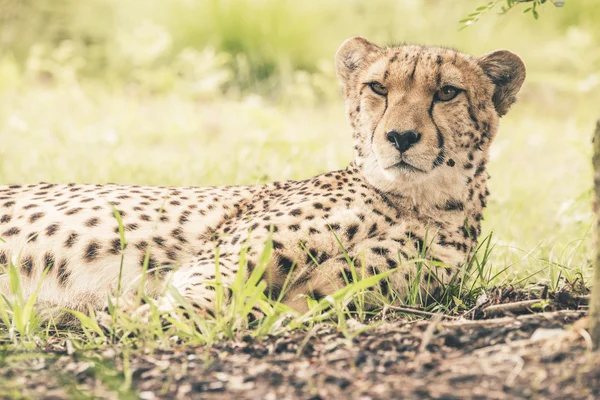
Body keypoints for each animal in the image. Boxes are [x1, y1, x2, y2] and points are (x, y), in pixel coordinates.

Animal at [0, 37, 524, 318]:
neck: (412, 200)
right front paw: (137, 318)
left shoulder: (329, 294)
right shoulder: (216, 268)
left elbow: (255, 308)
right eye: (378, 87)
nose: (400, 137)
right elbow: (202, 300)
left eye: (448, 93)